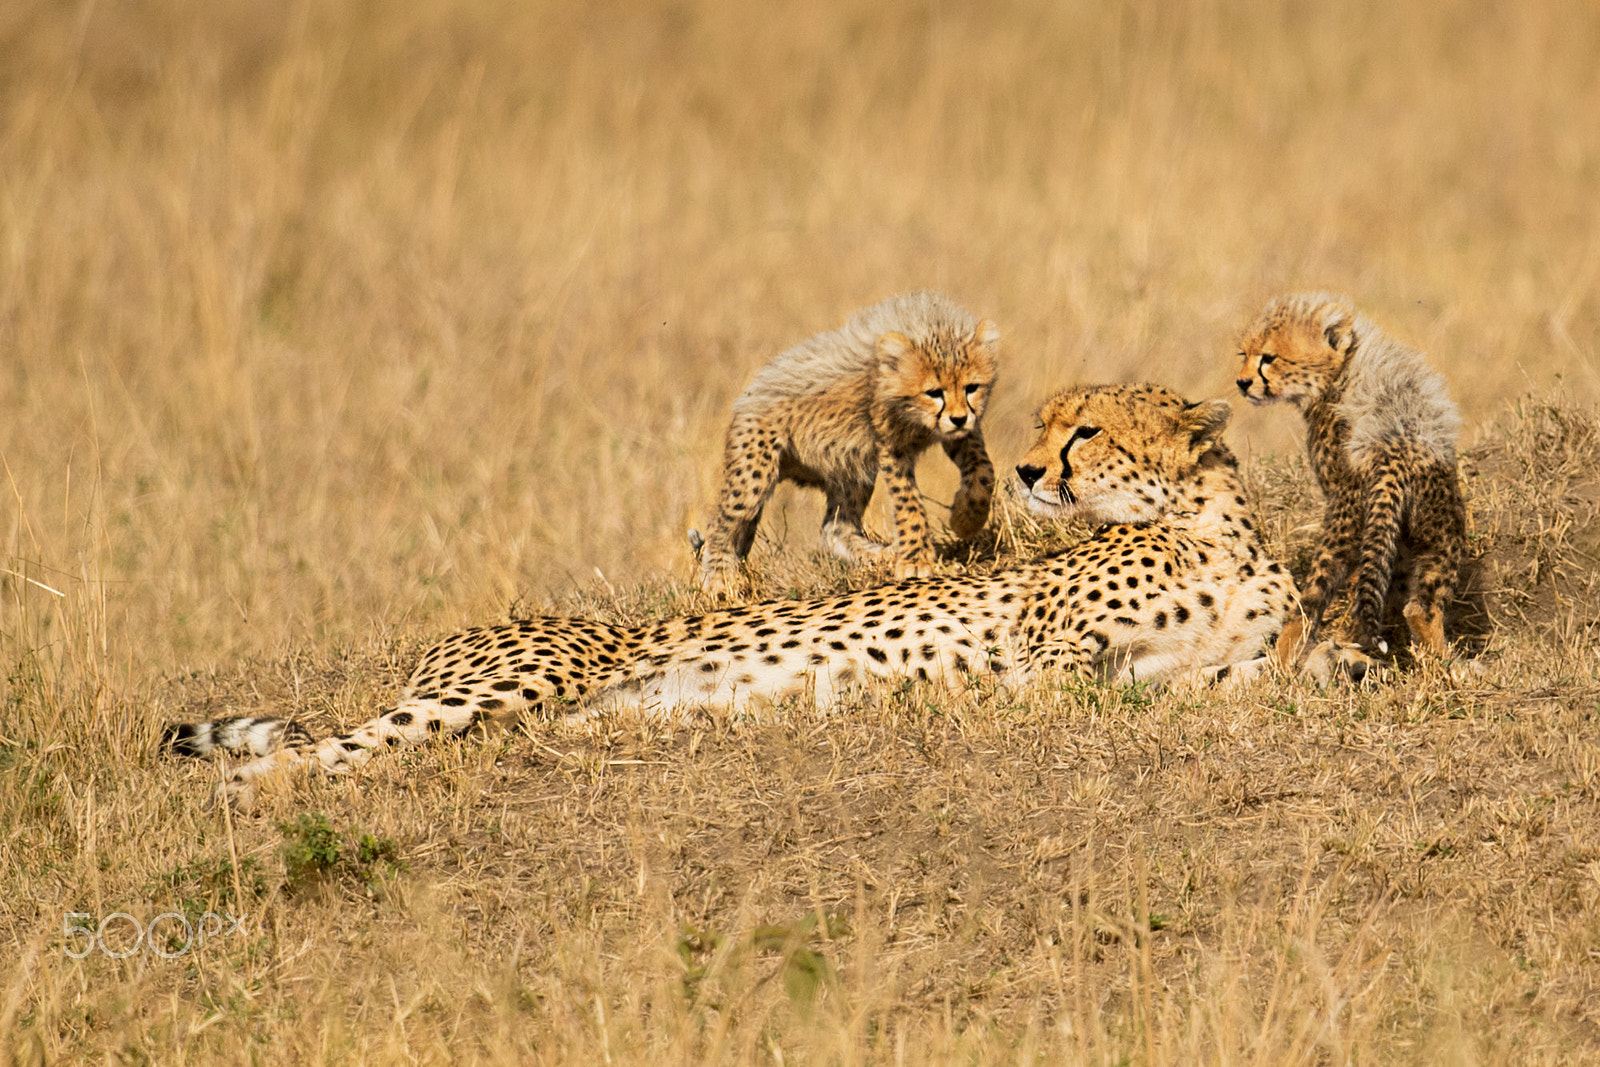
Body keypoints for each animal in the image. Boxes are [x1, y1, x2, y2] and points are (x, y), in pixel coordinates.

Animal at [165, 379, 1363, 806]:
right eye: (1047, 425)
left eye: (1088, 430)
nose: (1025, 471)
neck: (1209, 530)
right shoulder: (1044, 648)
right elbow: (1059, 686)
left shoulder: (1212, 664)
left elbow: (1256, 678)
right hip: (497, 688)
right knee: (325, 747)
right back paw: (240, 788)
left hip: (544, 712)